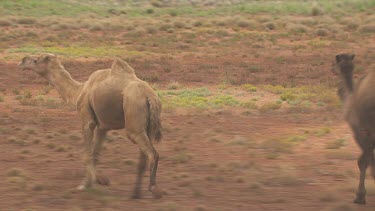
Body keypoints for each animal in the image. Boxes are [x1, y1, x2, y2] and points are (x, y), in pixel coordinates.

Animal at [18, 53, 163, 199]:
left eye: (36, 60)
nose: (22, 61)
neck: (79, 90)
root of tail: (150, 97)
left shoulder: (87, 120)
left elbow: (87, 154)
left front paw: (86, 184)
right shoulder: (103, 126)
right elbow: (95, 154)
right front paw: (99, 180)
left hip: (133, 117)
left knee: (152, 154)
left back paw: (154, 189)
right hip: (148, 127)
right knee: (143, 157)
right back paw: (135, 194)